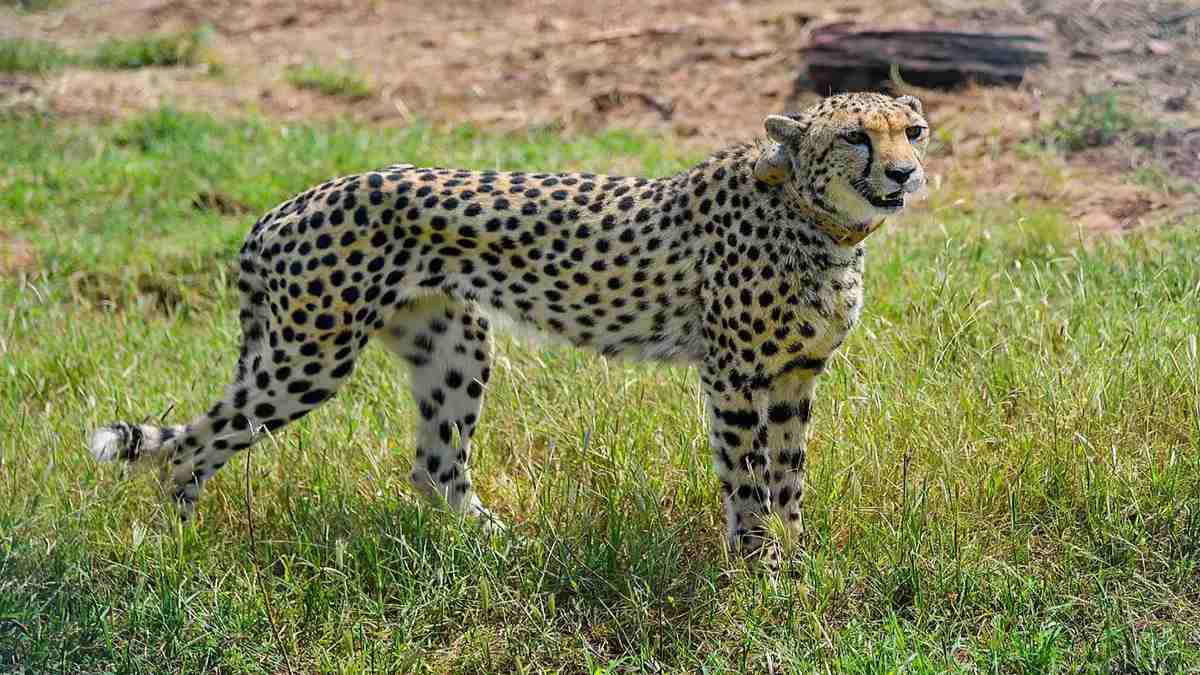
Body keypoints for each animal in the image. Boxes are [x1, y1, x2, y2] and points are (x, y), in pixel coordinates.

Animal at [89, 91, 930, 568]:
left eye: (914, 130)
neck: (820, 221)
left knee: (435, 464)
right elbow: (746, 478)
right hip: (308, 356)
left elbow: (789, 477)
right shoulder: (732, 374)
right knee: (190, 446)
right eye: (856, 136)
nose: (904, 173)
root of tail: (283, 206)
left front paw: (797, 561)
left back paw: (502, 546)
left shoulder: (794, 375)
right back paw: (179, 551)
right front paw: (758, 568)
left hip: (453, 344)